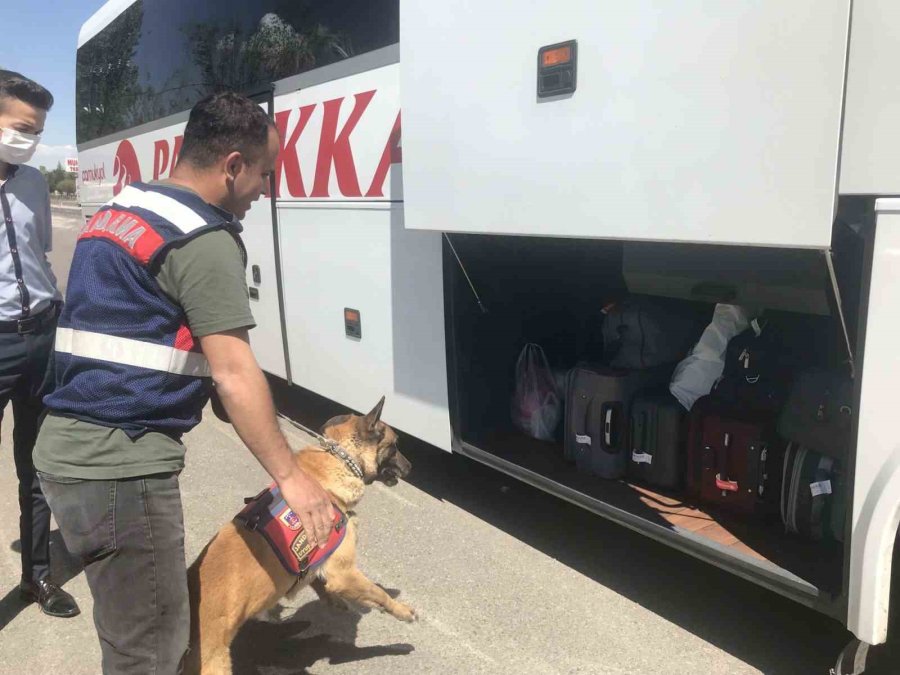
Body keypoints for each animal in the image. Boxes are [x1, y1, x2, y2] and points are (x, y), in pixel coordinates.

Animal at [189, 398, 418, 672]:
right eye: (394, 446)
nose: (411, 467)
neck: (338, 461)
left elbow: (320, 581)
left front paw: (335, 601)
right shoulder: (344, 572)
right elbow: (378, 593)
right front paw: (403, 612)